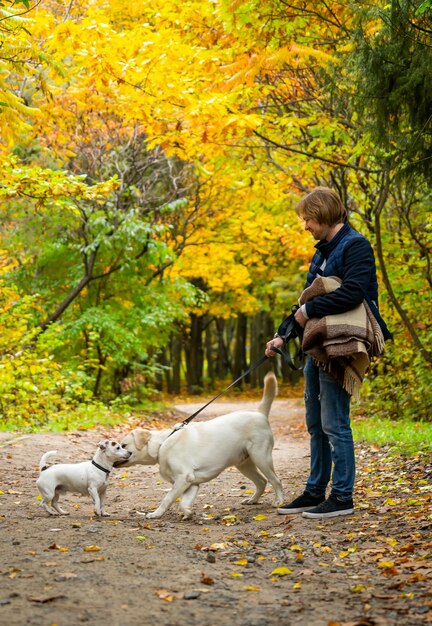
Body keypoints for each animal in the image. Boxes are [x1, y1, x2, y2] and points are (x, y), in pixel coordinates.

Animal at [116, 370, 284, 516]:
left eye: (123, 445)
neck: (162, 444)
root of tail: (260, 413)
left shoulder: (183, 478)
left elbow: (167, 499)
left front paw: (155, 514)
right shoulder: (191, 483)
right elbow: (183, 503)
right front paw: (188, 513)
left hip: (261, 457)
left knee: (275, 480)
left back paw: (279, 502)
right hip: (244, 464)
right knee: (262, 481)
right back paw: (253, 500)